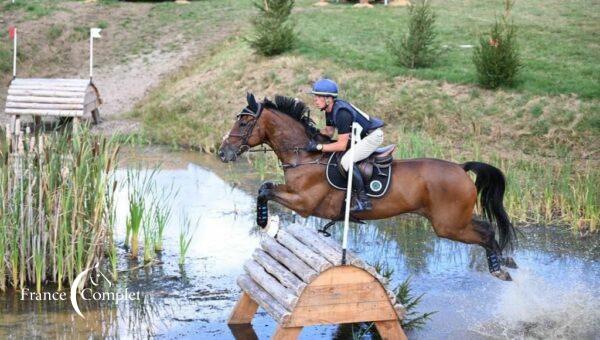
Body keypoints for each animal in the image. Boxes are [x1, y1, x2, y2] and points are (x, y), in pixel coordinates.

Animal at [218, 93, 516, 282]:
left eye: (243, 122)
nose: (223, 152)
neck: (305, 155)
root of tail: (461, 168)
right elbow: (265, 187)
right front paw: (269, 223)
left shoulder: (303, 202)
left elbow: (265, 190)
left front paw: (267, 224)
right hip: (453, 220)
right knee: (486, 227)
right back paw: (505, 263)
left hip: (448, 225)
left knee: (485, 232)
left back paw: (499, 269)